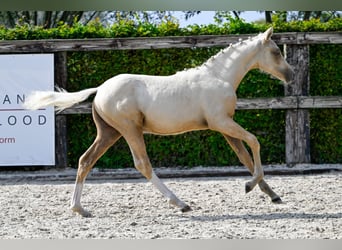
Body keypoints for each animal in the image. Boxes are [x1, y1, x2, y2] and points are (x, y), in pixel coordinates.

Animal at [26, 26, 294, 216]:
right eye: (275, 52)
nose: (290, 75)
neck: (219, 77)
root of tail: (101, 88)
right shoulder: (221, 123)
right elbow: (254, 141)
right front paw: (250, 186)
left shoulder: (225, 126)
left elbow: (245, 157)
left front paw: (271, 194)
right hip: (130, 130)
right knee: (142, 164)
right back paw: (180, 203)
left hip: (109, 133)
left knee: (85, 161)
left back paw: (79, 209)